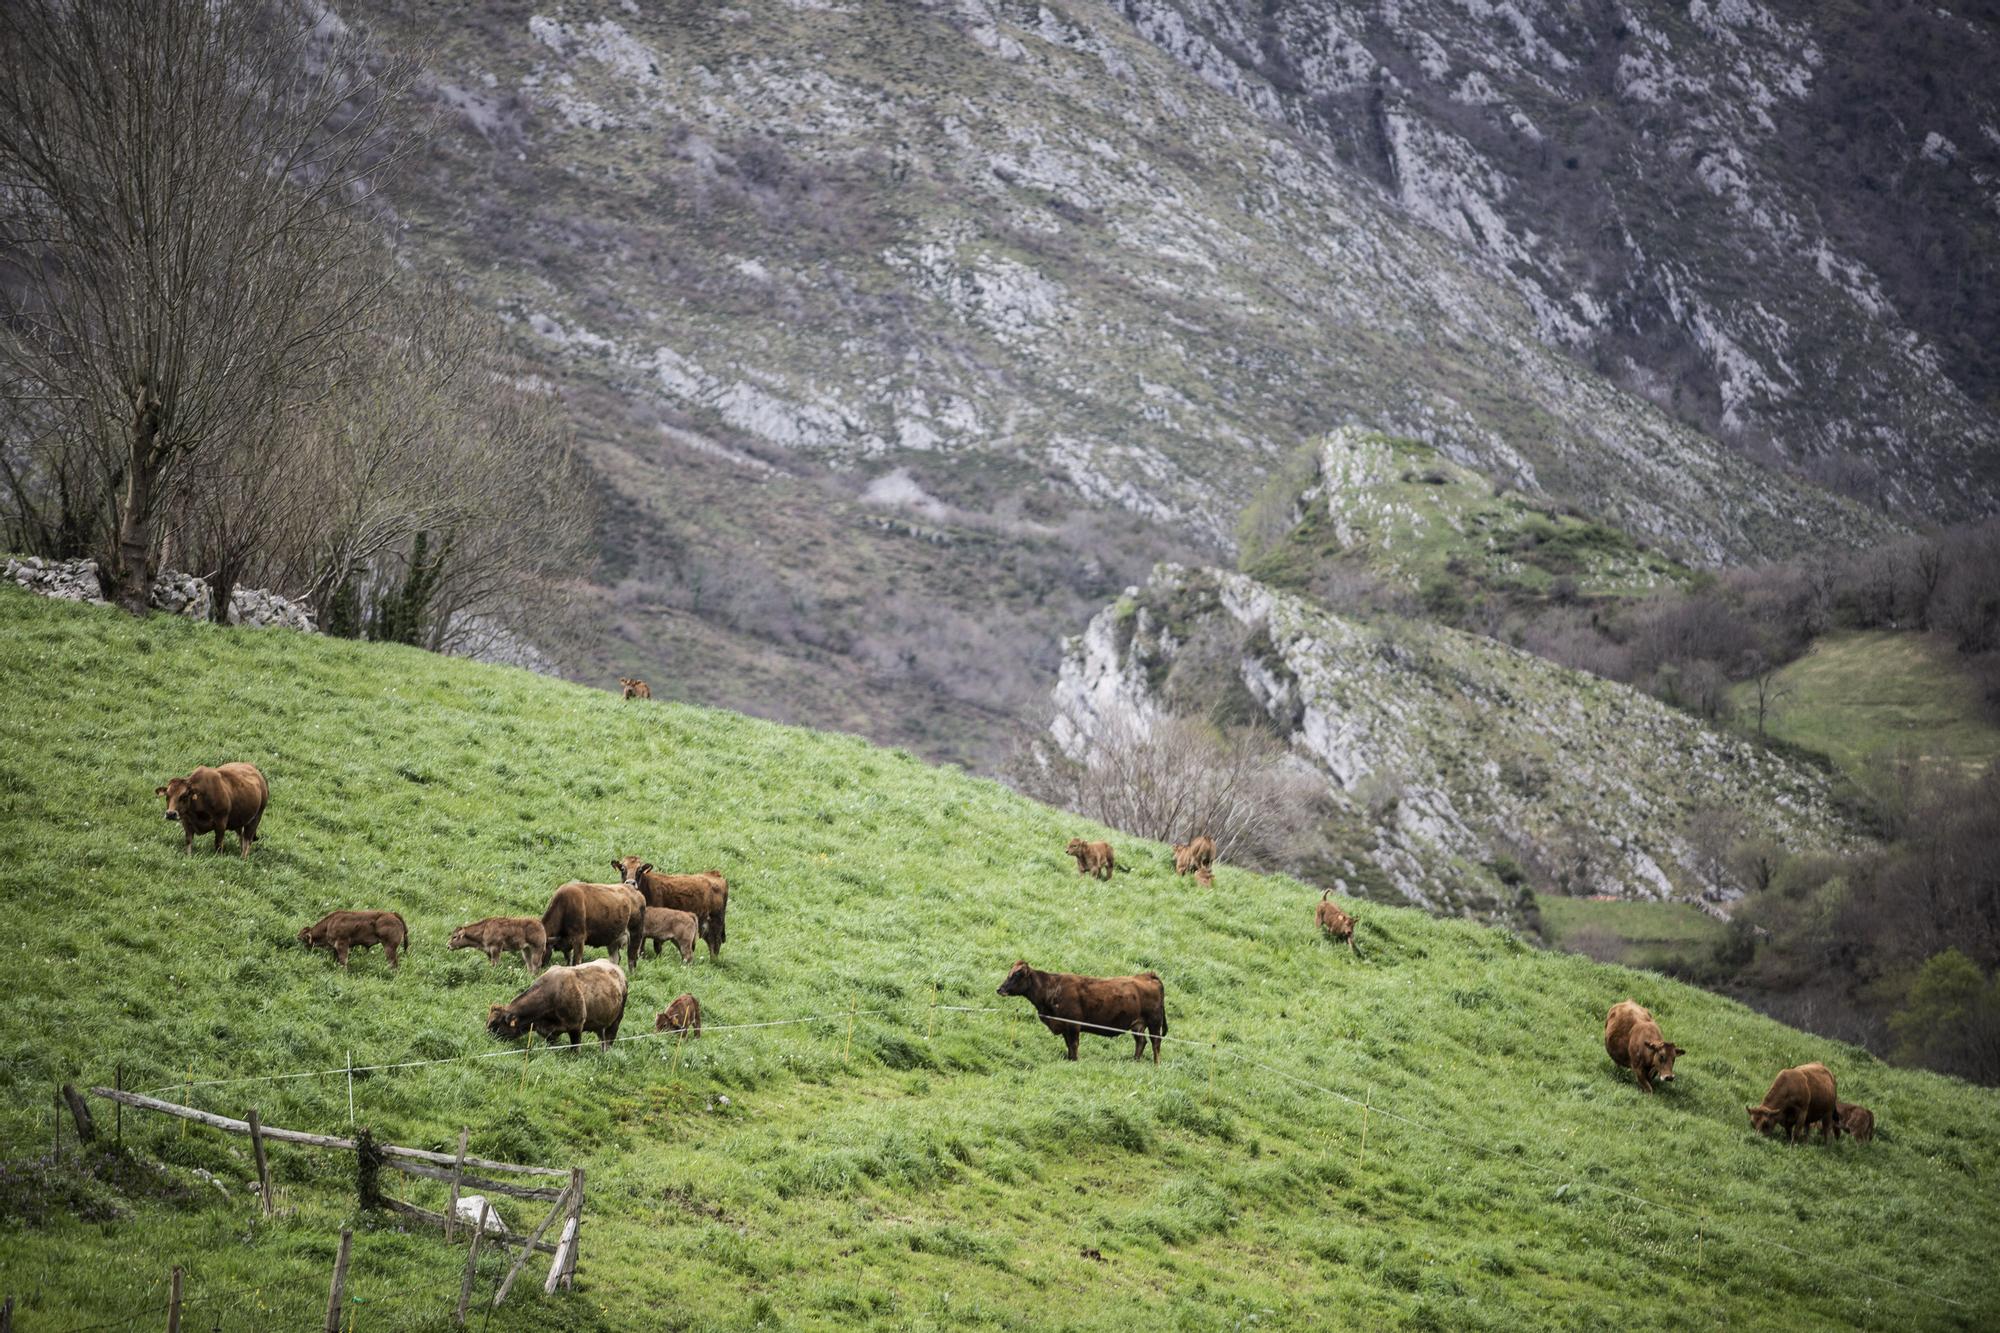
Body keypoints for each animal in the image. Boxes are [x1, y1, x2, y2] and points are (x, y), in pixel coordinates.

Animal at [486, 956, 624, 1048]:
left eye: (495, 1024)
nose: (487, 1038)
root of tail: (616, 967)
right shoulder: (549, 1032)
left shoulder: (576, 1026)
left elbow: (575, 1047)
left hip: (616, 1021)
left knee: (609, 1039)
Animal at [992, 956, 1168, 1056]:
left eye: (1017, 974)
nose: (1000, 989)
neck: (1052, 988)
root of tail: (1148, 976)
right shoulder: (1064, 1026)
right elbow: (1069, 1047)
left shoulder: (1073, 1025)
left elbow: (1074, 1046)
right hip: (1138, 1024)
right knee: (1141, 1042)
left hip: (1154, 1022)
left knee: (1155, 1043)